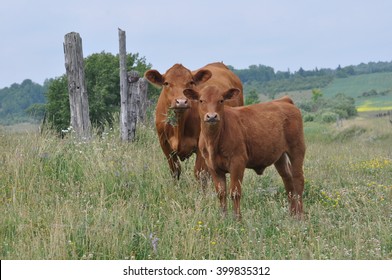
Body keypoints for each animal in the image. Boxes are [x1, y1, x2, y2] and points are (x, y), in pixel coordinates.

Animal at [184, 85, 306, 219]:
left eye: (221, 100)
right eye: (201, 100)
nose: (211, 116)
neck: (213, 141)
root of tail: (284, 101)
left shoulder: (238, 162)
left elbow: (235, 192)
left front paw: (237, 219)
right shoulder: (212, 166)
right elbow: (221, 193)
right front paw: (223, 217)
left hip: (297, 149)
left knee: (298, 180)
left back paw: (300, 216)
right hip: (280, 156)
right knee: (288, 181)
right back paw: (292, 214)